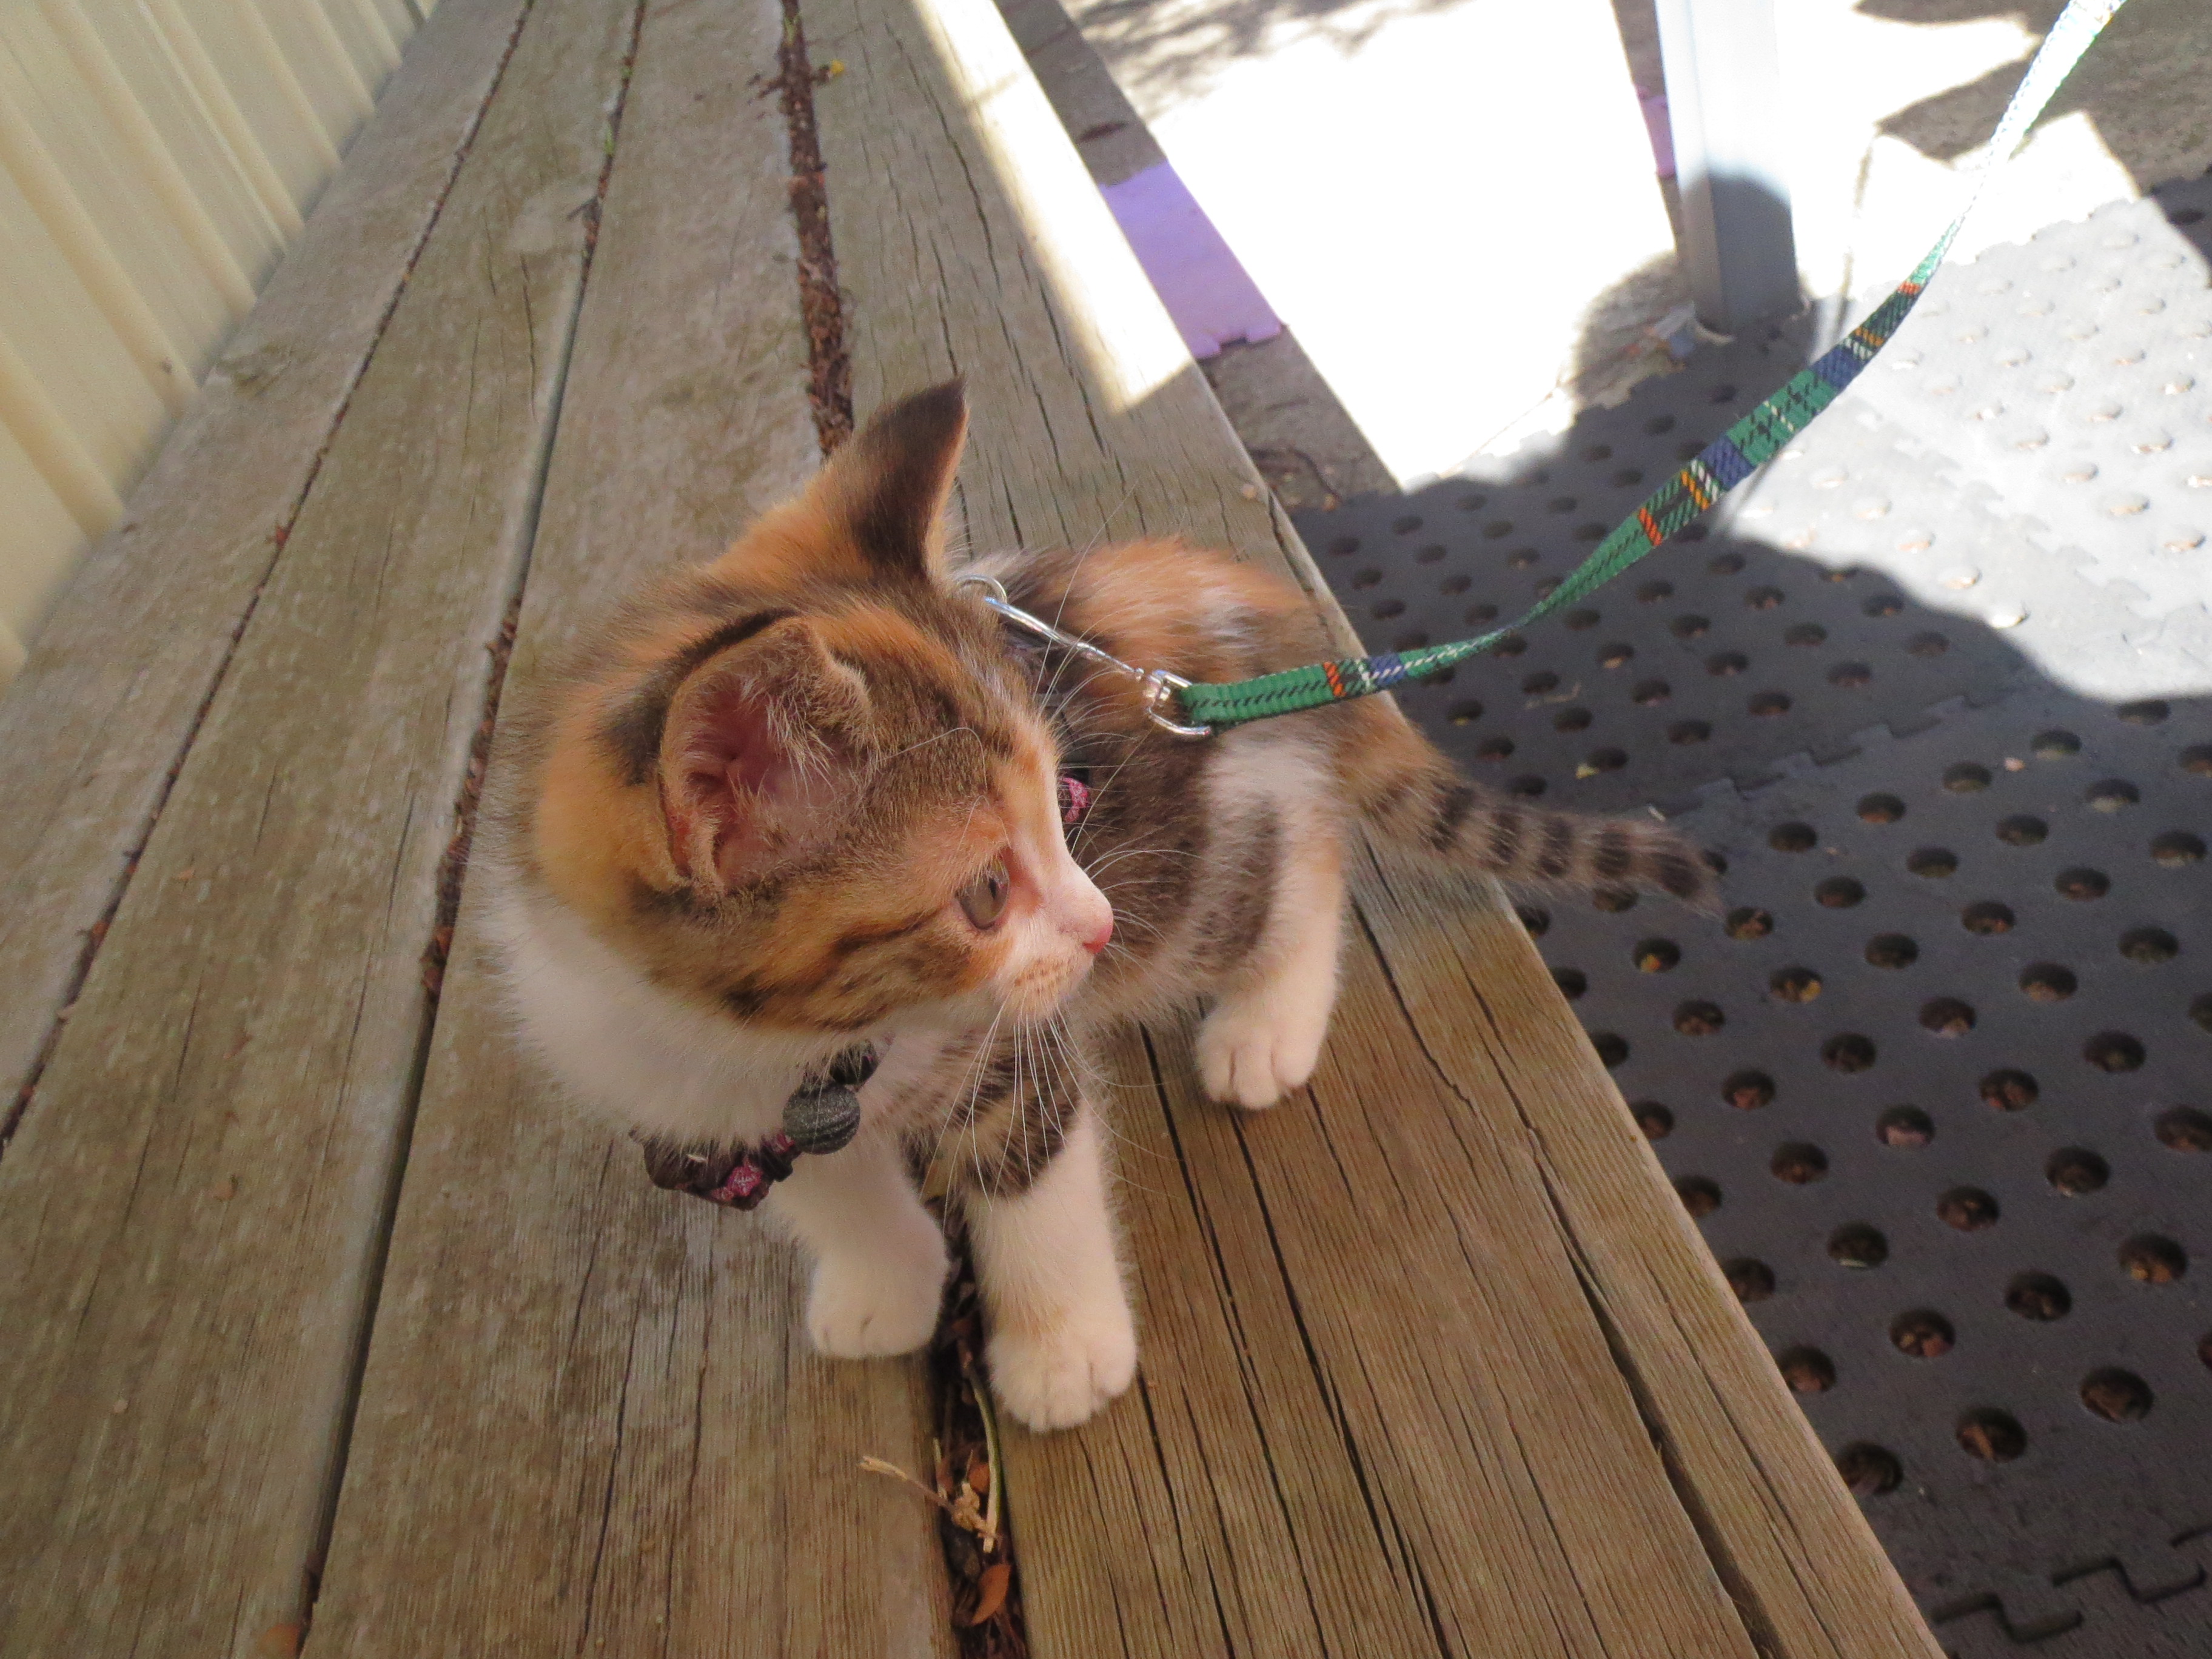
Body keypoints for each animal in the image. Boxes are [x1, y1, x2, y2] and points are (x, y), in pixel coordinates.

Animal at [483, 381, 1716, 1432]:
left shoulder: (1008, 1052)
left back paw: (1266, 1022)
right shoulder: (718, 1099)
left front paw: (1061, 1351)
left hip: (1204, 853)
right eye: (986, 891)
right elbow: (834, 1190)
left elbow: (1038, 1188)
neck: (798, 1039)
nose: (1094, 926)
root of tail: (1267, 626)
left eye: (1062, 804)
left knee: (1303, 858)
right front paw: (883, 1283)